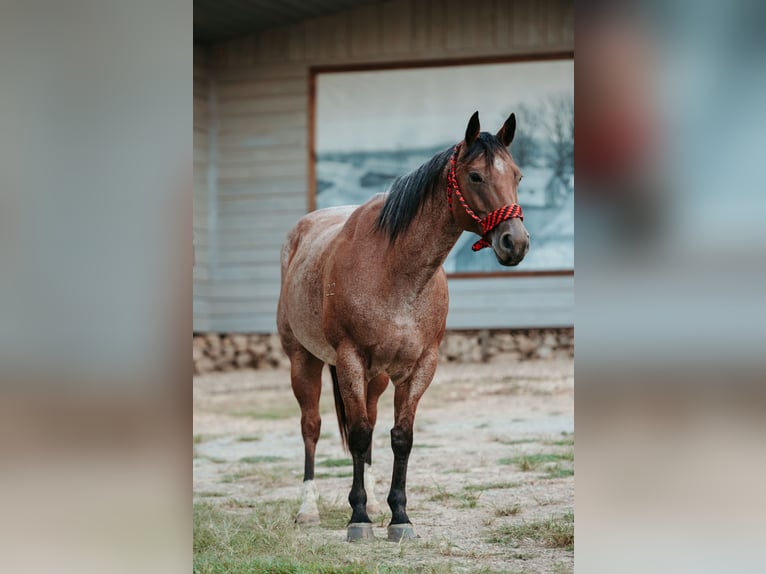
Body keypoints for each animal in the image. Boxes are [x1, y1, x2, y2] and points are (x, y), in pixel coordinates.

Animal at [280, 110, 532, 544]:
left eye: (517, 175)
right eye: (476, 176)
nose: (514, 242)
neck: (394, 272)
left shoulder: (419, 366)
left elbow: (400, 437)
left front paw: (398, 516)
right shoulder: (350, 359)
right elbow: (358, 434)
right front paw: (359, 519)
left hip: (377, 377)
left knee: (369, 424)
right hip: (304, 360)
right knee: (311, 427)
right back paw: (308, 510)